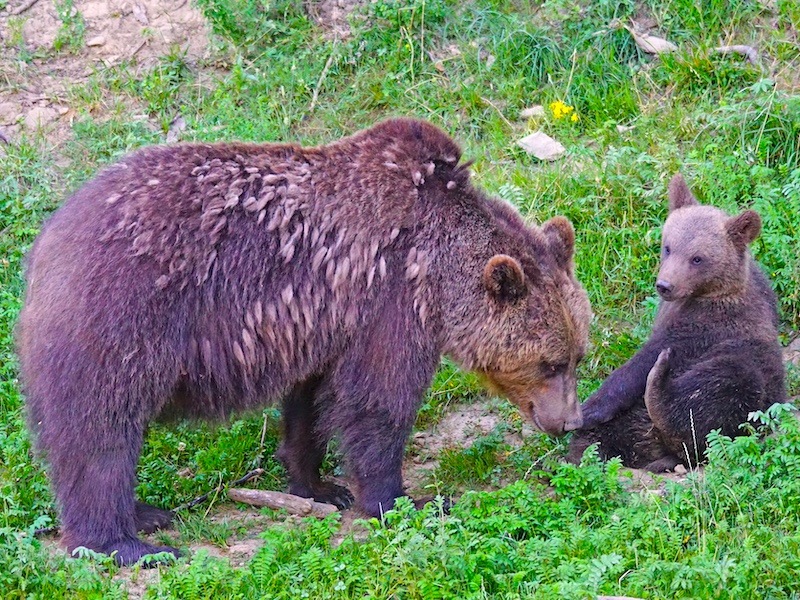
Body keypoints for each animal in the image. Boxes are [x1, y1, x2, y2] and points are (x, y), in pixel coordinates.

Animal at [17, 117, 592, 564]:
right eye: (550, 363)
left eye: (578, 355)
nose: (569, 421)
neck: (435, 266)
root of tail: (47, 241)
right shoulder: (388, 302)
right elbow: (378, 402)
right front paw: (403, 499)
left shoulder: (326, 321)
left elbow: (312, 402)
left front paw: (317, 484)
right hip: (123, 319)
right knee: (102, 432)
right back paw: (127, 544)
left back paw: (146, 513)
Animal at [568, 173, 788, 474]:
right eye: (668, 246)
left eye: (697, 258)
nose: (665, 285)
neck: (702, 294)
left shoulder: (704, 326)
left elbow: (644, 361)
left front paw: (589, 408)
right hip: (635, 421)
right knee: (611, 435)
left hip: (753, 391)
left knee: (725, 385)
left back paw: (658, 389)